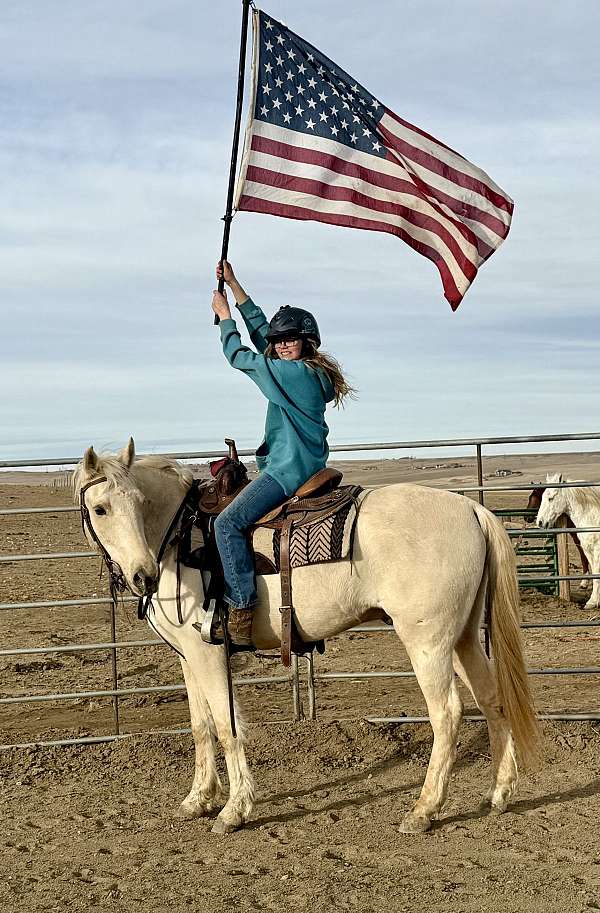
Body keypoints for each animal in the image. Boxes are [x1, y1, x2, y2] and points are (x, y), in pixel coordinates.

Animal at [72, 440, 540, 832]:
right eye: (101, 508)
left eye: (139, 503)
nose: (142, 574)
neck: (179, 540)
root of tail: (471, 509)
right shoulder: (188, 655)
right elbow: (200, 725)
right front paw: (198, 800)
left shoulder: (209, 653)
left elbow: (226, 725)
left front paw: (233, 810)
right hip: (462, 637)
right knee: (492, 699)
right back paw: (498, 793)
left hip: (428, 643)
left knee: (447, 714)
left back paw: (423, 811)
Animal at [536, 474, 600, 608]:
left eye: (550, 498)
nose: (540, 522)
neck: (592, 516)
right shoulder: (588, 550)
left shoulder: (597, 550)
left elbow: (597, 573)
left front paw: (592, 602)